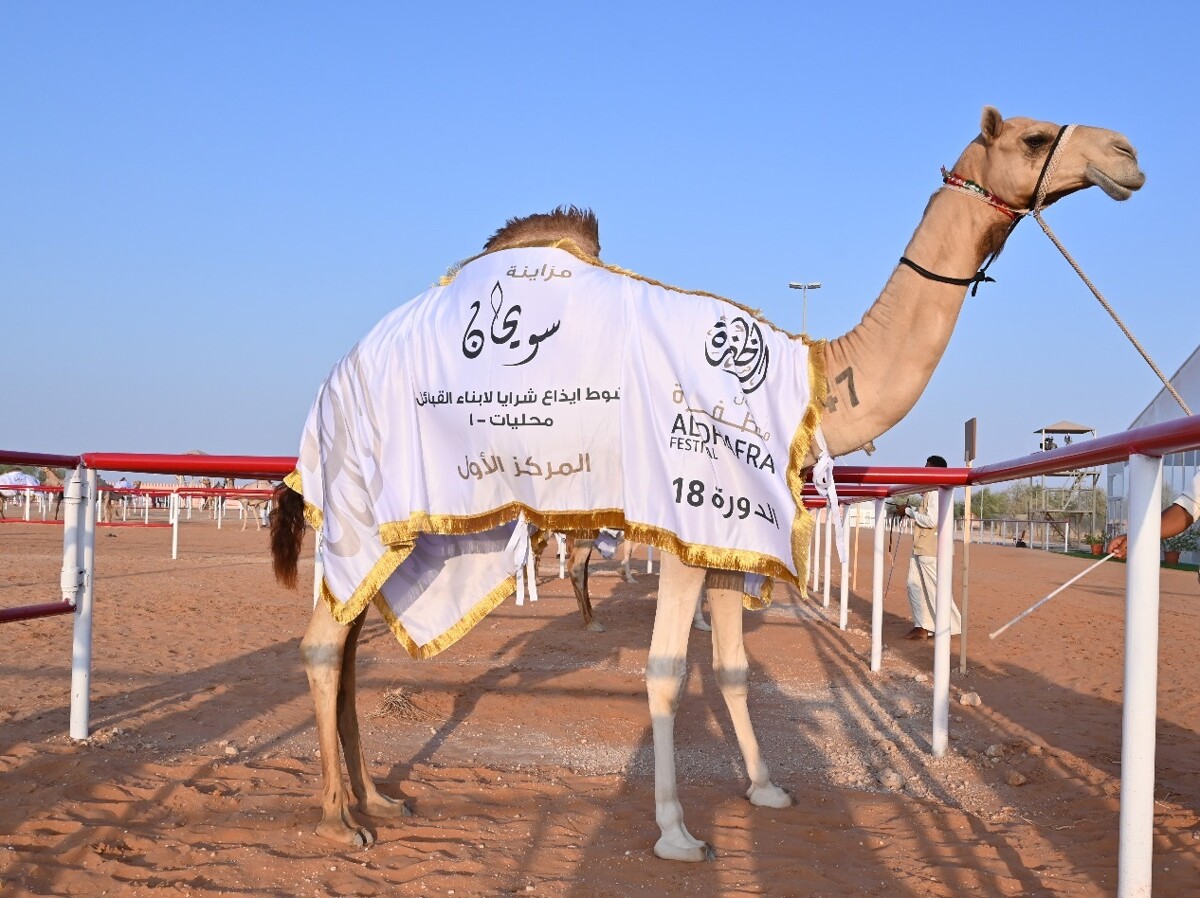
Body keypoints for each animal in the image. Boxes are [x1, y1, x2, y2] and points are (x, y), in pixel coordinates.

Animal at [270, 108, 1142, 859]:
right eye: (1033, 137)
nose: (1126, 153)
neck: (810, 377)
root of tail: (328, 384)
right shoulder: (684, 529)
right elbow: (665, 671)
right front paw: (677, 832)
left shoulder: (732, 534)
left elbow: (731, 668)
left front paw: (765, 788)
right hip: (368, 502)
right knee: (322, 643)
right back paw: (341, 818)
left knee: (346, 642)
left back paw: (379, 798)